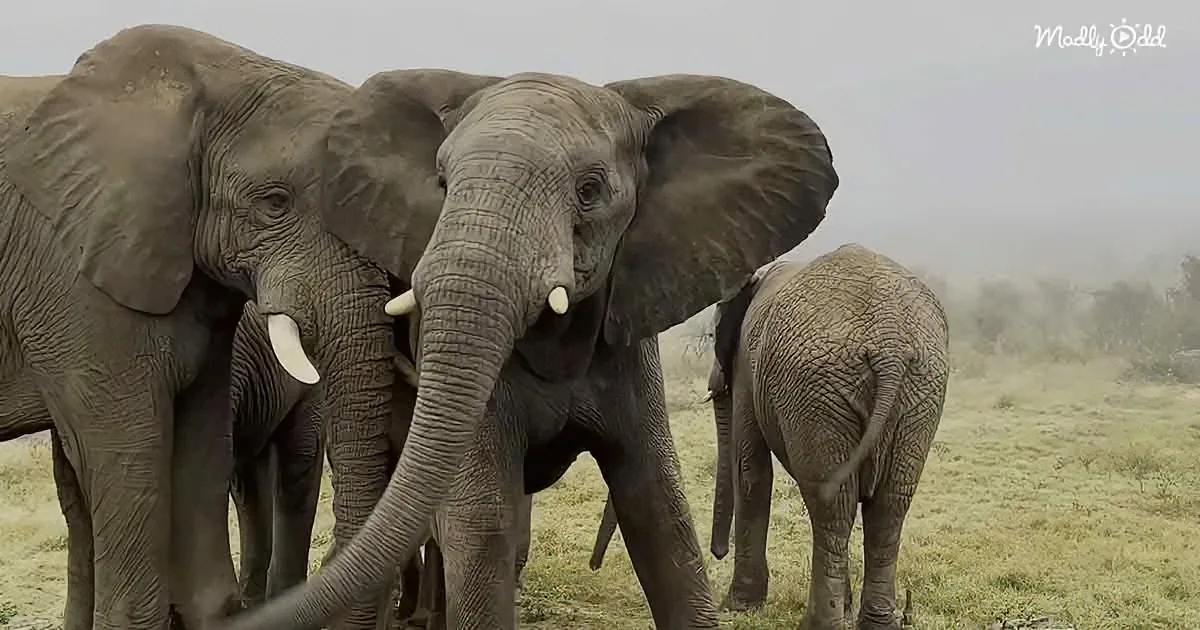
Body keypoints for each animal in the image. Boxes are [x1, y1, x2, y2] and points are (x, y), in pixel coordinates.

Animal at [704, 244, 949, 629]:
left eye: (714, 337)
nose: (716, 553)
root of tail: (889, 348)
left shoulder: (746, 365)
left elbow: (750, 469)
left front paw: (738, 607)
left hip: (819, 388)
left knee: (834, 507)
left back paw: (818, 623)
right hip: (918, 390)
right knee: (888, 505)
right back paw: (876, 622)